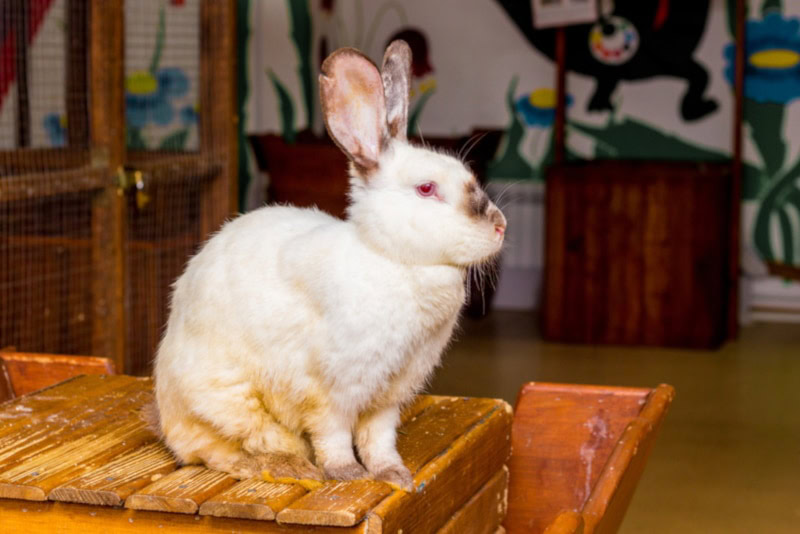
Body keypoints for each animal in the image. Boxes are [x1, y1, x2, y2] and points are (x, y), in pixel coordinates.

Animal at [152, 40, 507, 492]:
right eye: (427, 189)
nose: (501, 227)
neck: (391, 258)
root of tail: (163, 410)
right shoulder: (330, 391)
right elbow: (333, 434)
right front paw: (346, 473)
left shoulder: (389, 395)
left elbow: (378, 438)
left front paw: (396, 476)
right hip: (222, 401)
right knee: (214, 450)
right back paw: (289, 466)